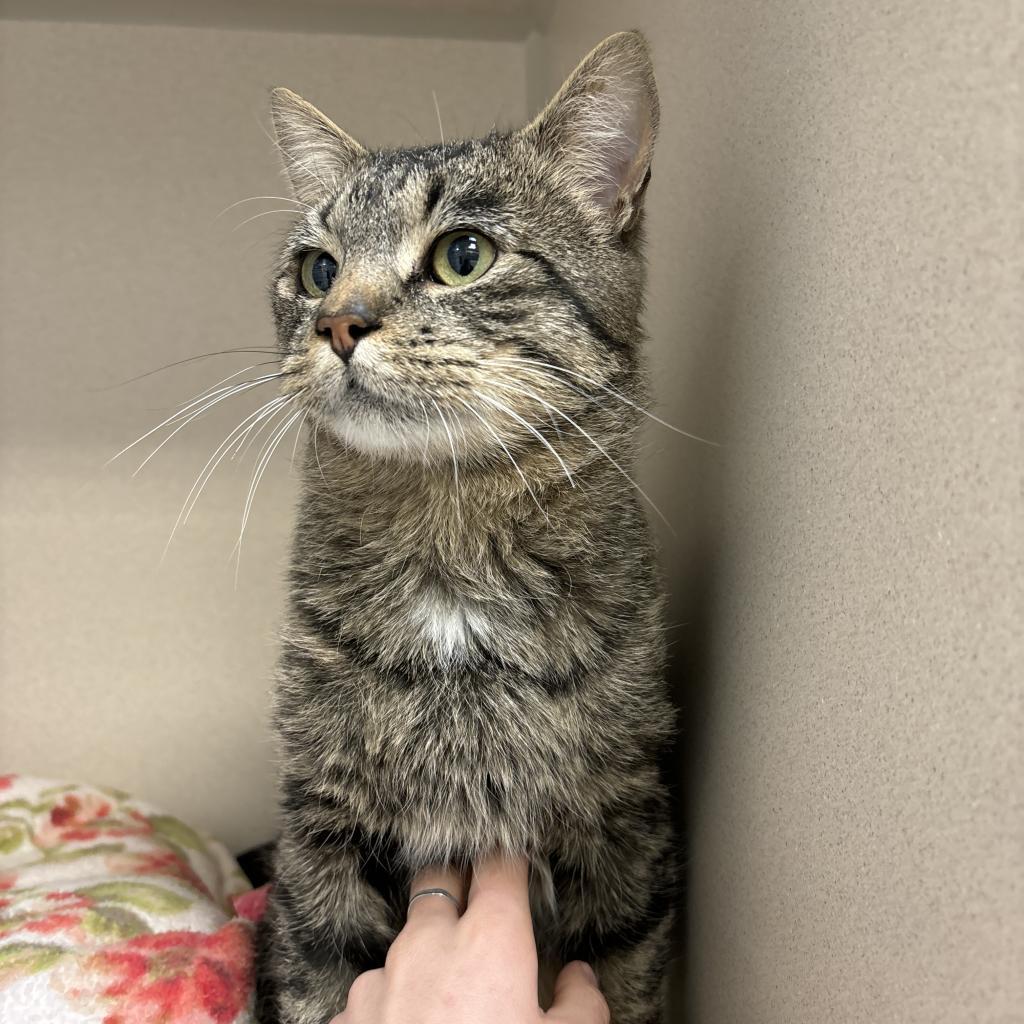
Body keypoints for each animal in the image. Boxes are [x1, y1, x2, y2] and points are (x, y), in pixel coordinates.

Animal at [258, 32, 671, 1024]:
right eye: (317, 269)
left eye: (464, 254)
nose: (338, 322)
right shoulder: (317, 834)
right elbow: (316, 977)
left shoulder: (624, 829)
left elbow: (626, 972)